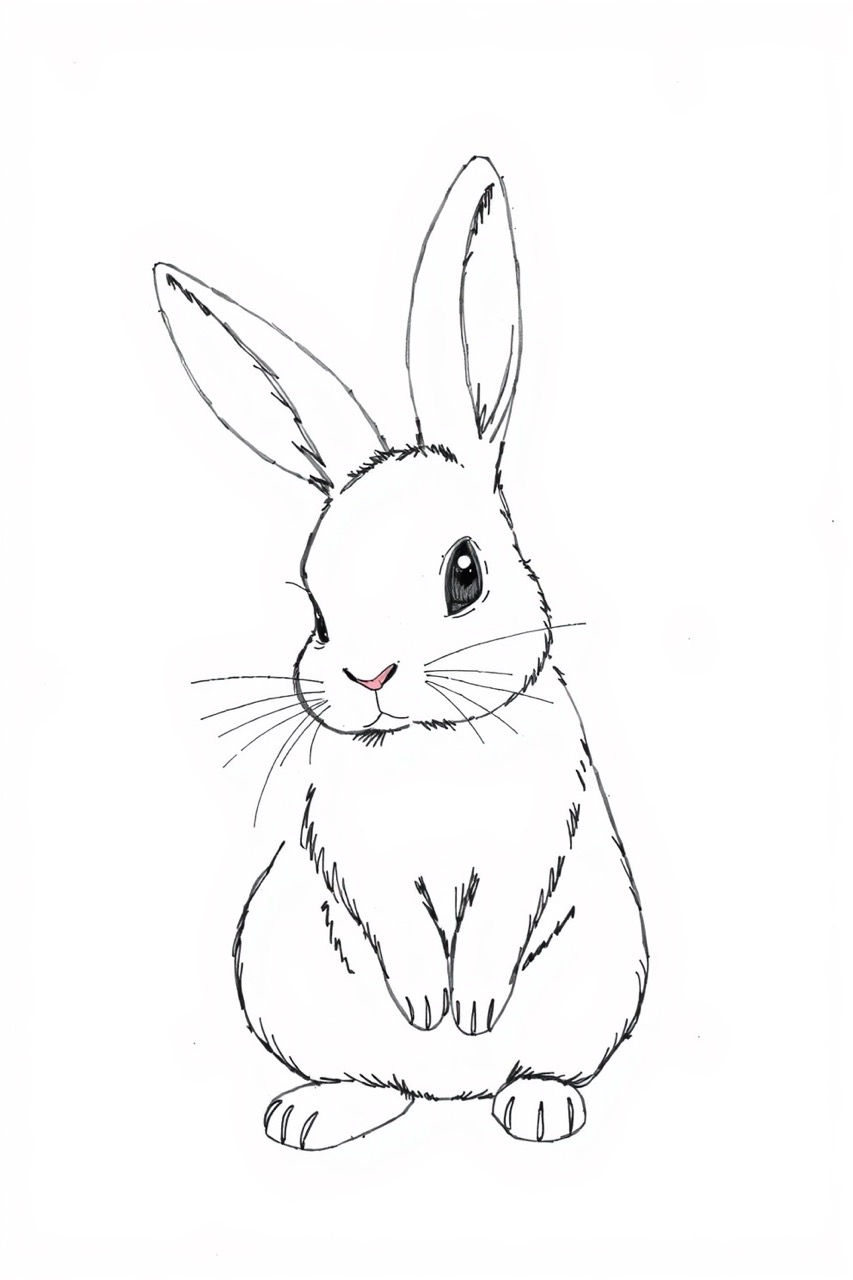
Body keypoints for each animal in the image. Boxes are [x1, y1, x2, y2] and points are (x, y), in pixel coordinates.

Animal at [153, 156, 649, 1149]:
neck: (429, 744)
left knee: (531, 1070)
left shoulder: (534, 836)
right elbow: (393, 916)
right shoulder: (351, 850)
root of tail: (448, 1096)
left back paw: (537, 1104)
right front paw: (427, 1004)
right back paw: (315, 1113)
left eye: (465, 572)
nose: (368, 676)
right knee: (373, 1082)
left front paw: (470, 1009)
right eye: (317, 608)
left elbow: (497, 916)